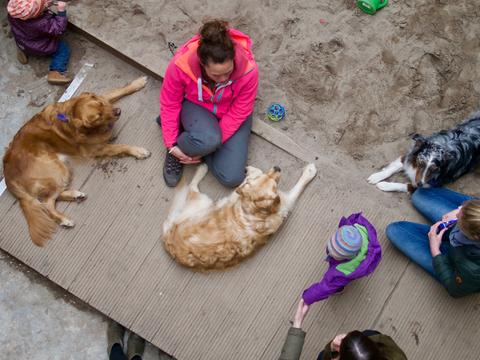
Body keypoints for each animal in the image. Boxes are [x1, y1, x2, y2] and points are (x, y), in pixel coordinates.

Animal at [2, 77, 150, 246]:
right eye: (98, 116)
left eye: (101, 105)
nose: (118, 112)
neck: (70, 115)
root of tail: (8, 175)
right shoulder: (96, 149)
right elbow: (121, 147)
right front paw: (138, 151)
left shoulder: (105, 98)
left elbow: (118, 90)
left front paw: (137, 83)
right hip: (57, 169)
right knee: (46, 202)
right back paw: (64, 219)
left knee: (49, 197)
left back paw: (75, 195)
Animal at [163, 162, 316, 270]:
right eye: (268, 179)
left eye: (274, 183)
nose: (277, 167)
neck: (257, 210)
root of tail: (168, 240)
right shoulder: (284, 201)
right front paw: (310, 172)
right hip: (203, 200)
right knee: (192, 187)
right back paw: (202, 169)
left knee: (192, 188)